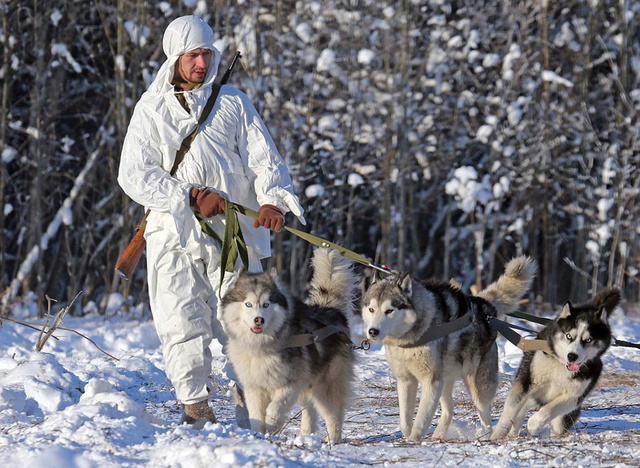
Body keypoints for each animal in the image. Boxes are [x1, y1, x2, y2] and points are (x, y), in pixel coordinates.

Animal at [220, 249, 360, 442]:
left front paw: (272, 425)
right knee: (310, 408)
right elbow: (255, 415)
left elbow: (274, 408)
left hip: (325, 386)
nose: (258, 320)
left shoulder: (292, 383)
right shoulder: (254, 387)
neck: (263, 347)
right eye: (248, 304)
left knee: (333, 415)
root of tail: (331, 310)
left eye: (266, 304)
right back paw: (306, 435)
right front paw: (258, 435)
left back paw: (332, 440)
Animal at [360, 258, 536, 440]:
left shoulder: (431, 381)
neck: (411, 336)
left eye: (389, 310)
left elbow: (421, 419)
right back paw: (438, 434)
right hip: (446, 379)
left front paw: (414, 439)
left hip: (477, 385)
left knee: (485, 413)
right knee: (449, 409)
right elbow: (404, 420)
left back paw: (485, 435)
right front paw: (407, 436)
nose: (372, 331)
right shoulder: (405, 381)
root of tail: (484, 306)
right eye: (371, 309)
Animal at [490, 288, 620, 440]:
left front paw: (533, 425)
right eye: (569, 336)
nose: (572, 356)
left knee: (555, 424)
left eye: (588, 340)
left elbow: (548, 411)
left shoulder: (574, 397)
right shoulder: (526, 382)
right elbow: (510, 411)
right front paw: (496, 435)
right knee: (523, 407)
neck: (561, 364)